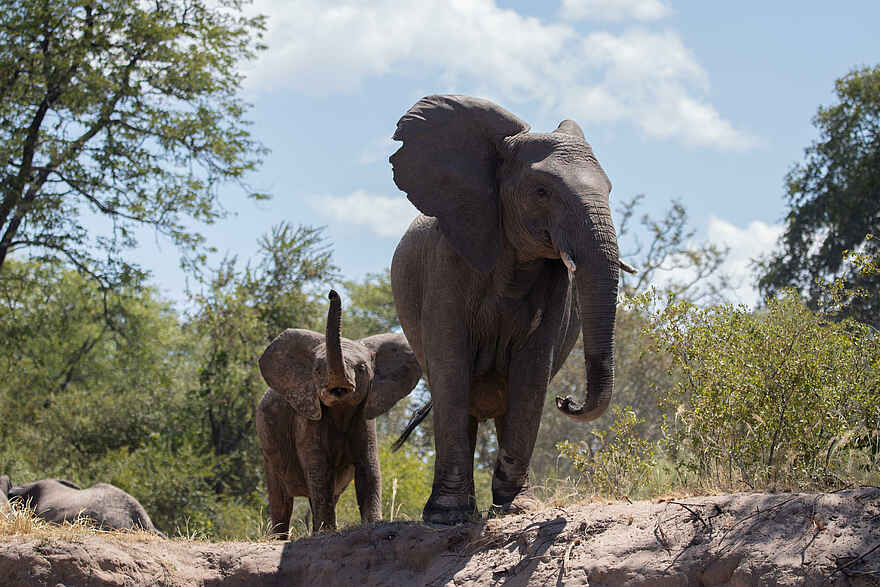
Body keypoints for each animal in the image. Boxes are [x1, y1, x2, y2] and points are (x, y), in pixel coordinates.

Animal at [257, 289, 422, 537]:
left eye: (362, 369)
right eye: (317, 370)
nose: (332, 293)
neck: (340, 408)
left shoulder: (364, 415)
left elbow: (369, 467)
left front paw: (373, 525)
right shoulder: (306, 418)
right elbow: (319, 469)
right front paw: (327, 532)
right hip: (267, 447)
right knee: (281, 500)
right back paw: (280, 537)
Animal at [389, 94, 627, 524]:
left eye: (610, 189)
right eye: (542, 191)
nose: (566, 401)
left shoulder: (556, 286)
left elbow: (532, 369)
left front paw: (516, 507)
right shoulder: (447, 261)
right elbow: (450, 363)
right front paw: (447, 516)